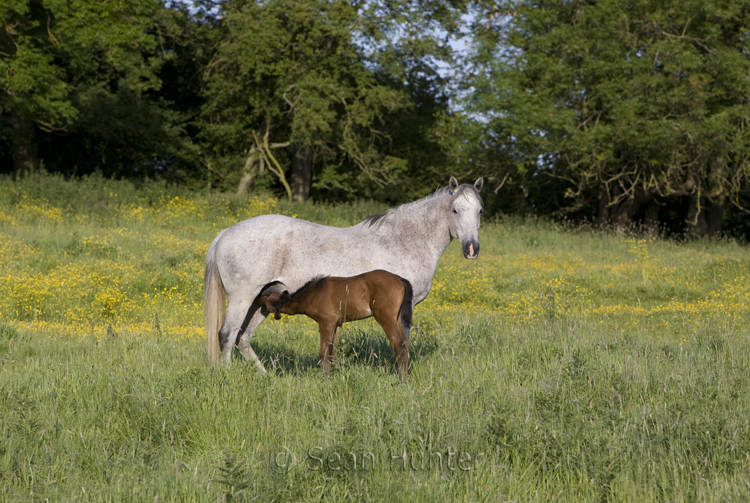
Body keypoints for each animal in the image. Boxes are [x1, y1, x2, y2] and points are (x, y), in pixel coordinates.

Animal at [260, 270, 414, 380]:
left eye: (268, 301)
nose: (259, 298)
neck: (313, 293)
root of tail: (400, 279)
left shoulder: (326, 322)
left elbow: (324, 352)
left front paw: (326, 379)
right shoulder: (337, 324)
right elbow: (334, 351)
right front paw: (338, 374)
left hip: (385, 317)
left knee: (398, 344)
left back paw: (402, 380)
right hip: (396, 318)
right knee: (406, 343)